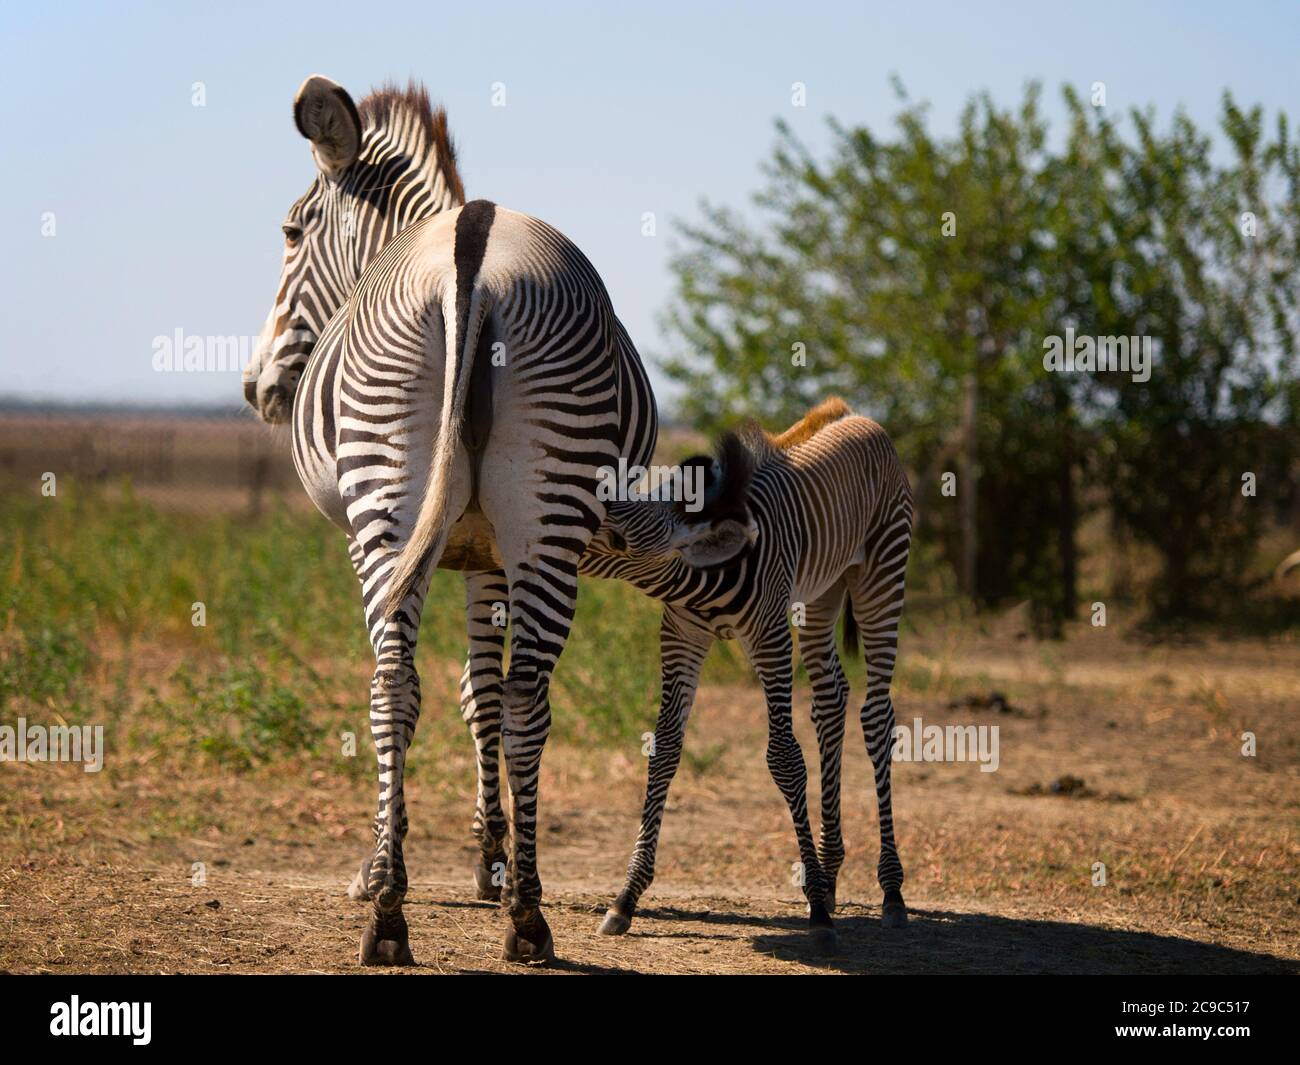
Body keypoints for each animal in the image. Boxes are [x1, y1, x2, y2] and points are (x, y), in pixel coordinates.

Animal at [242, 76, 657, 966]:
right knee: (515, 694)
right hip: (541, 518)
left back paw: (389, 906)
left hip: (385, 510)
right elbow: (483, 694)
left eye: (291, 231)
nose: (257, 388)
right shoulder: (489, 553)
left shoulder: (463, 552)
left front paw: (399, 860)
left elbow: (467, 691)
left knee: (392, 683)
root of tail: (473, 248)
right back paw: (522, 916)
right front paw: (492, 861)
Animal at [577, 398, 913, 951]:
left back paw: (889, 891)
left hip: (882, 575)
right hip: (822, 594)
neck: (707, 577)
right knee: (830, 700)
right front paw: (626, 897)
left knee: (877, 717)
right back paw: (830, 874)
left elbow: (784, 758)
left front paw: (818, 913)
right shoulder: (682, 634)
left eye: (619, 539)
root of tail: (858, 415)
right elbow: (665, 750)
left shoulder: (769, 635)